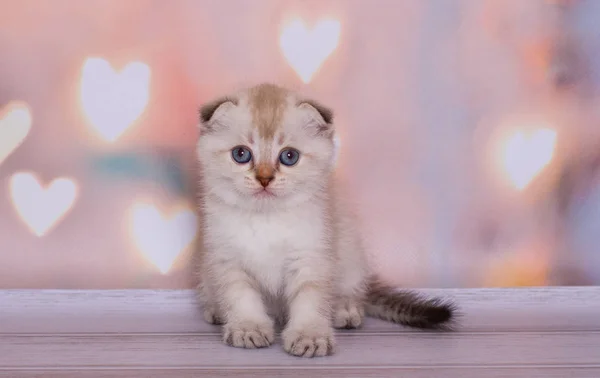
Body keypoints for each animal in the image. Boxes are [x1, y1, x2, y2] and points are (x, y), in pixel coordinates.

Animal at [195, 82, 458, 358]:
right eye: (241, 154)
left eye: (289, 156)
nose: (265, 179)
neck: (267, 218)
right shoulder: (227, 260)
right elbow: (241, 298)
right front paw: (248, 328)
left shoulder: (312, 256)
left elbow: (310, 300)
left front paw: (309, 336)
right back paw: (216, 311)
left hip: (351, 254)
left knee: (352, 292)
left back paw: (345, 311)